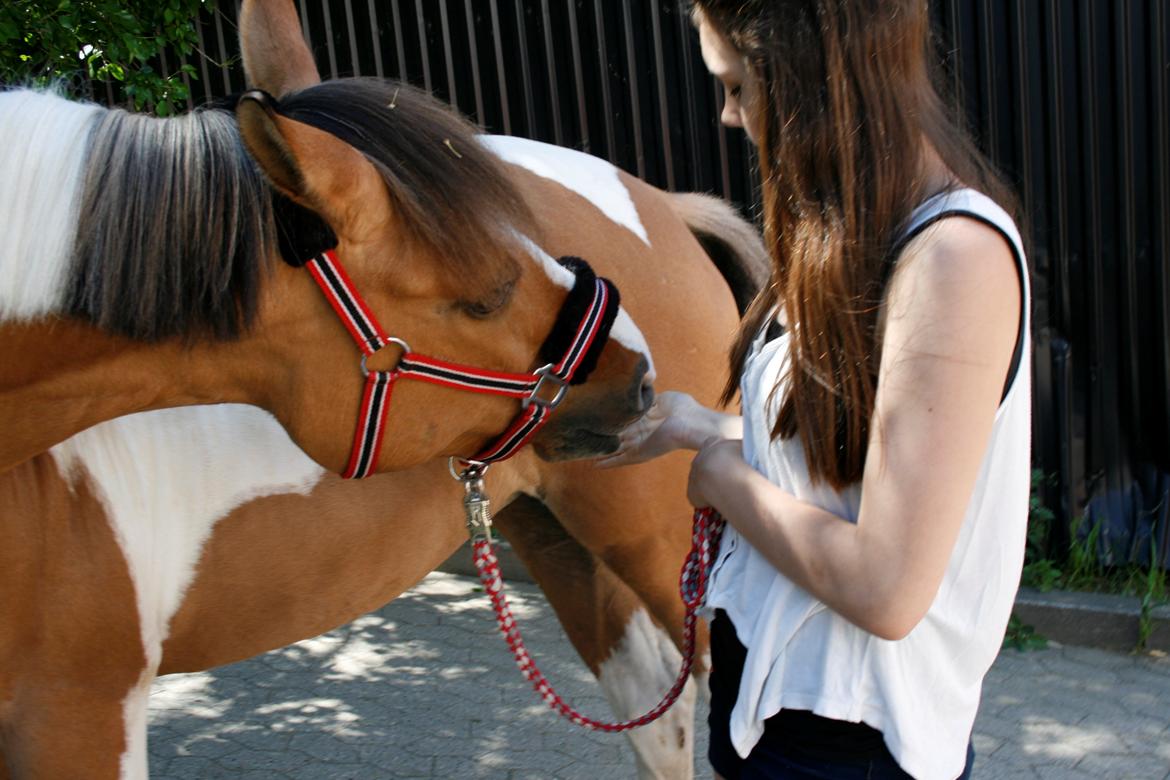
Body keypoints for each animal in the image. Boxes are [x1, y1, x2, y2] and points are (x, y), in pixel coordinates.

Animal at [0, 160, 762, 780]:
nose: (640, 377)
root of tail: (664, 205)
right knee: (658, 709)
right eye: (487, 294)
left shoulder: (80, 700)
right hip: (558, 533)